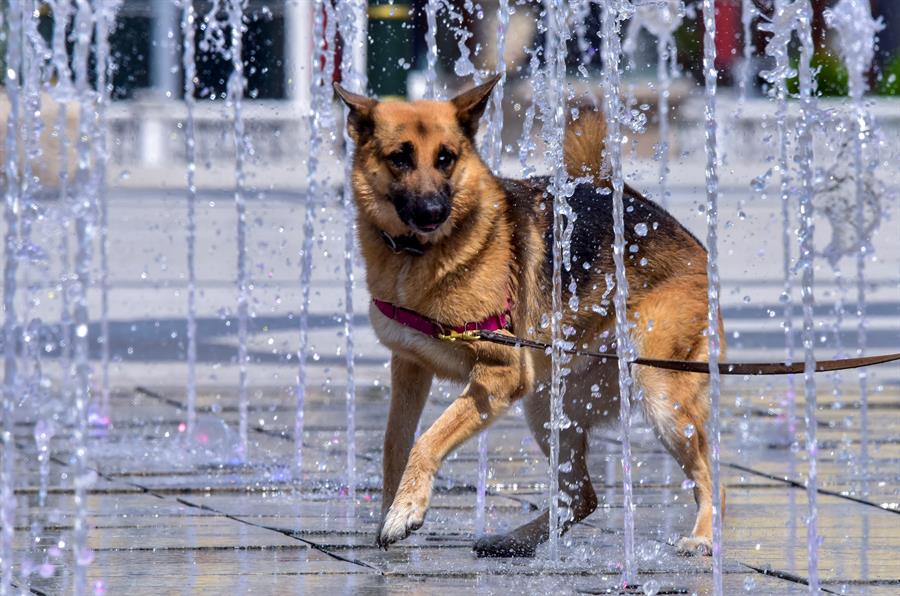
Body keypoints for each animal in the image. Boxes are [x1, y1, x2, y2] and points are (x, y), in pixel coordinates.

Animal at [334, 75, 720, 560]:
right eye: (399, 158)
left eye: (446, 158)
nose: (433, 213)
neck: (416, 256)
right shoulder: (409, 368)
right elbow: (393, 444)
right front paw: (393, 508)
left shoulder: (499, 375)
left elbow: (427, 440)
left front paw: (406, 511)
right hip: (547, 403)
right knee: (581, 496)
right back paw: (513, 541)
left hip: (660, 393)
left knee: (710, 474)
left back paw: (703, 537)